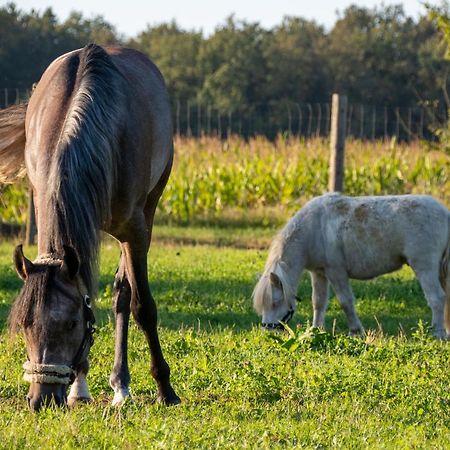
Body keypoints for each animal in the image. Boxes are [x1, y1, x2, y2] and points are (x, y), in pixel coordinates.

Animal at [0, 44, 179, 410]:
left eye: (70, 324)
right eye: (25, 324)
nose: (41, 399)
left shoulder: (134, 230)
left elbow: (142, 306)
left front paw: (164, 388)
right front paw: (79, 388)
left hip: (149, 210)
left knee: (124, 294)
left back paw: (122, 386)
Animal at [253, 192, 450, 338]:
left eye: (275, 302)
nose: (267, 331)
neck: (313, 228)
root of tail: (445, 213)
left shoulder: (336, 272)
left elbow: (345, 302)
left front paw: (355, 331)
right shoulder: (319, 273)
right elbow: (318, 302)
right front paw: (316, 330)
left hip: (424, 267)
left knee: (437, 298)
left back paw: (438, 333)